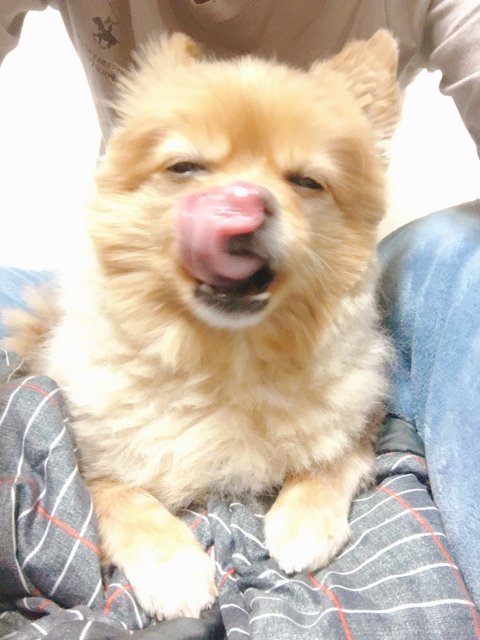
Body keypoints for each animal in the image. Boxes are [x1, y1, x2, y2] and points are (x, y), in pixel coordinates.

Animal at [4, 31, 401, 619]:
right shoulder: (87, 460)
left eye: (307, 181)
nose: (242, 203)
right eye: (185, 168)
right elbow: (120, 497)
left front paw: (303, 520)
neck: (224, 357)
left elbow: (337, 459)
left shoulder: (361, 417)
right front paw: (174, 568)